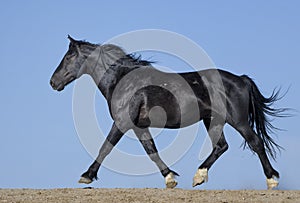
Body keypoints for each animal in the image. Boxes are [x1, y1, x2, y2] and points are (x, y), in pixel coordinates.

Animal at [50, 35, 284, 190]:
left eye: (69, 57)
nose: (53, 82)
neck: (123, 81)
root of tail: (241, 79)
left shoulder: (122, 122)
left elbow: (105, 147)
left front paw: (86, 176)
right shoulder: (139, 126)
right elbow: (151, 151)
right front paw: (170, 177)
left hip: (238, 120)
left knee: (255, 142)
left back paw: (271, 180)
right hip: (212, 121)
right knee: (221, 147)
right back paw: (198, 176)